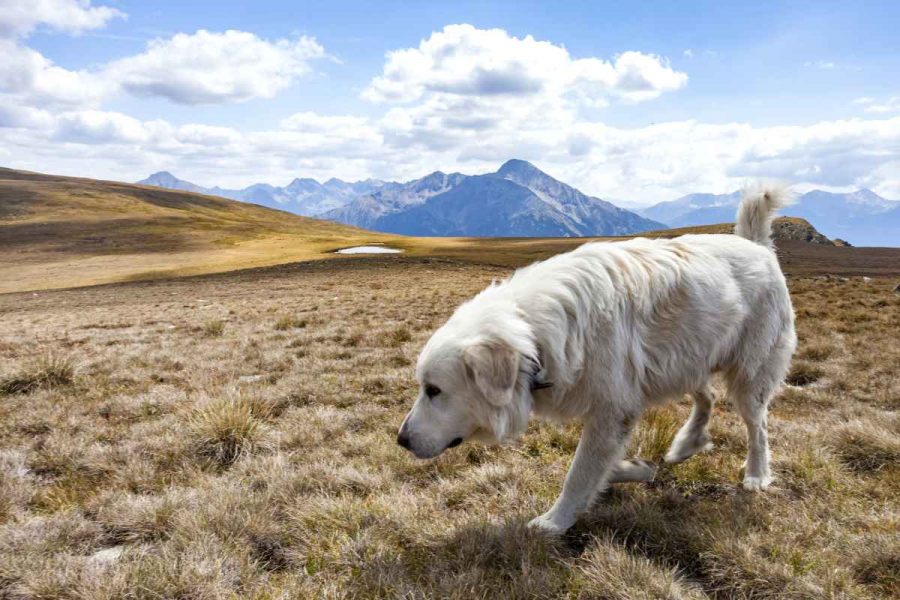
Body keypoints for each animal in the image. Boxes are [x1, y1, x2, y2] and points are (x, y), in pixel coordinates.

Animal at [398, 188, 800, 536]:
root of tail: (756, 245)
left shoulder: (611, 410)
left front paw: (554, 522)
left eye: (434, 390)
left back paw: (756, 475)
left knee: (758, 427)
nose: (400, 440)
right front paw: (633, 469)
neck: (536, 337)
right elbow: (601, 467)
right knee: (708, 398)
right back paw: (687, 444)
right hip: (686, 359)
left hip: (748, 376)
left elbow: (579, 472)